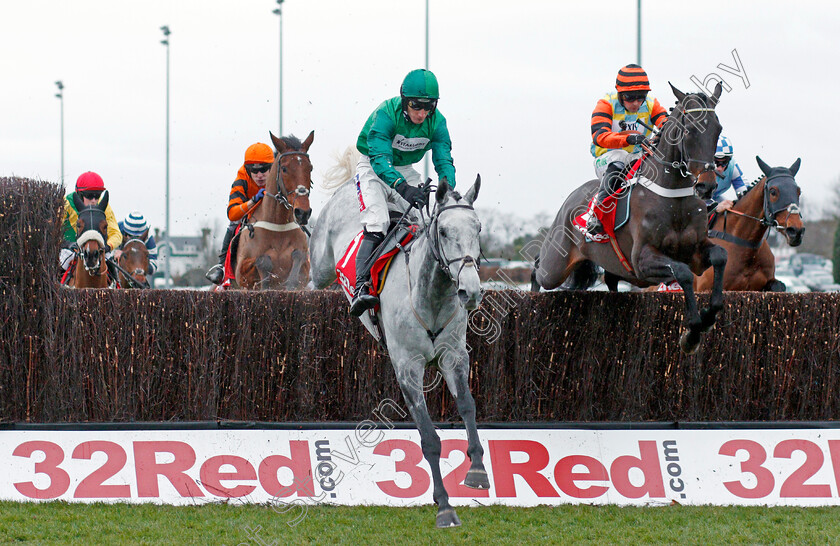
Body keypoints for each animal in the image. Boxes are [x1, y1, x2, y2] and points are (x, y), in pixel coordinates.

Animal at [235, 130, 314, 288]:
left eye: (310, 168)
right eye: (284, 169)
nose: (302, 212)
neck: (279, 226)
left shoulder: (305, 269)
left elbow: (299, 256)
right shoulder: (242, 272)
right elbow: (262, 260)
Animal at [536, 81, 724, 352]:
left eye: (718, 130)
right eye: (688, 130)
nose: (706, 186)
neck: (673, 197)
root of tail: (571, 199)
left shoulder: (696, 251)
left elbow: (719, 256)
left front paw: (708, 318)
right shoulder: (642, 261)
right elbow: (682, 272)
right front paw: (692, 333)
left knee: (610, 281)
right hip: (554, 265)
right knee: (538, 268)